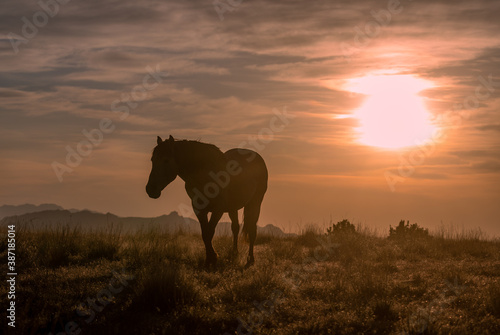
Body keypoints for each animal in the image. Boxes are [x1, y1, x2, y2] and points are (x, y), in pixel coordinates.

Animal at [146, 135, 268, 270]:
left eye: (166, 160)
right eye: (152, 160)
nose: (150, 190)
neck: (207, 175)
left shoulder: (218, 209)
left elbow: (209, 232)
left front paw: (212, 259)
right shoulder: (199, 209)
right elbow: (205, 234)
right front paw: (209, 260)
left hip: (255, 203)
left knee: (252, 230)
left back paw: (250, 259)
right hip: (233, 207)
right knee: (235, 228)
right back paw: (234, 253)